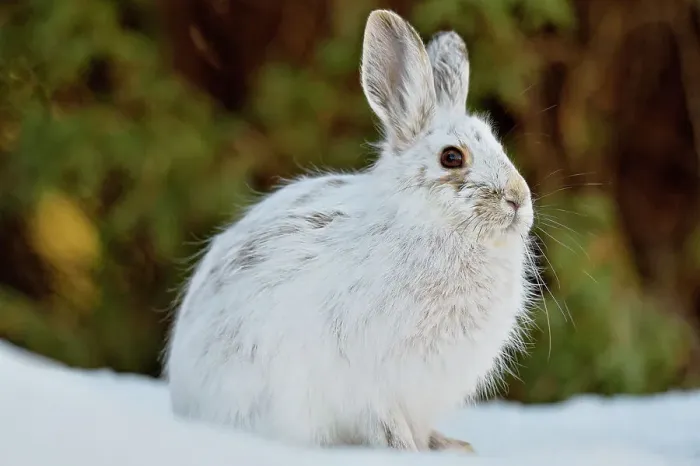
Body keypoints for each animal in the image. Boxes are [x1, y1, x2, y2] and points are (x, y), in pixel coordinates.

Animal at [165, 9, 536, 453]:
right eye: (451, 158)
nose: (518, 199)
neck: (430, 224)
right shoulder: (373, 382)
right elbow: (386, 422)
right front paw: (406, 449)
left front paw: (446, 446)